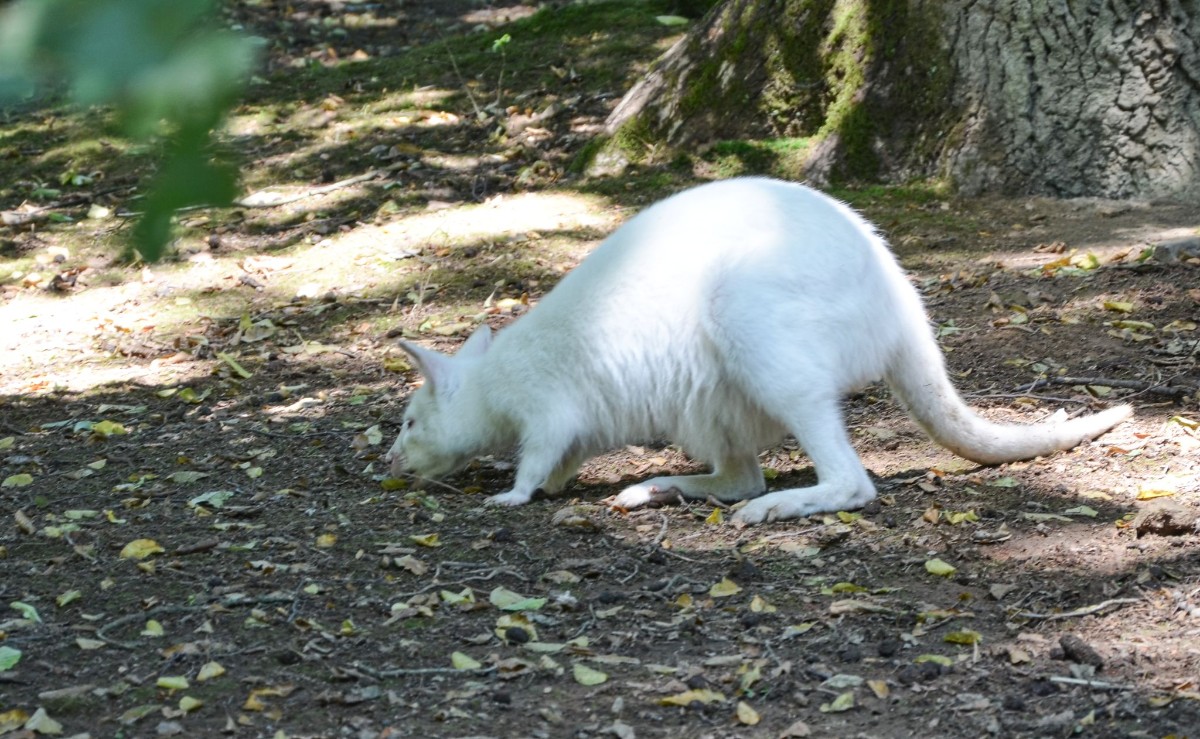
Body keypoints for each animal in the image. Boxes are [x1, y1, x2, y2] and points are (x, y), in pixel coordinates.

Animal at [385, 177, 1131, 523]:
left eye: (410, 421)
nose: (389, 461)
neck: (491, 381)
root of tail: (900, 306)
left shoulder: (548, 407)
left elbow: (538, 454)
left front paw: (511, 495)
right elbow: (562, 458)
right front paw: (558, 485)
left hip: (755, 322)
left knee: (846, 482)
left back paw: (770, 510)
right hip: (709, 397)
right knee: (742, 472)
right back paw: (655, 488)